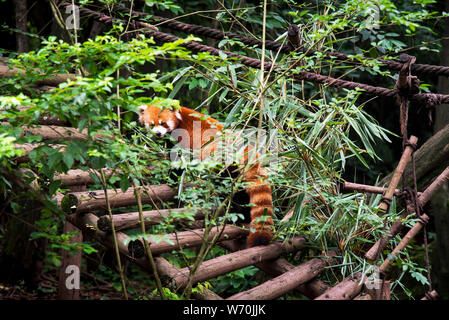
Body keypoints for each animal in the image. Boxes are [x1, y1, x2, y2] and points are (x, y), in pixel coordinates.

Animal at [138, 105, 274, 248]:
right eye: (152, 124)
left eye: (163, 123)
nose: (158, 133)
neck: (180, 118)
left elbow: (178, 162)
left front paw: (172, 180)